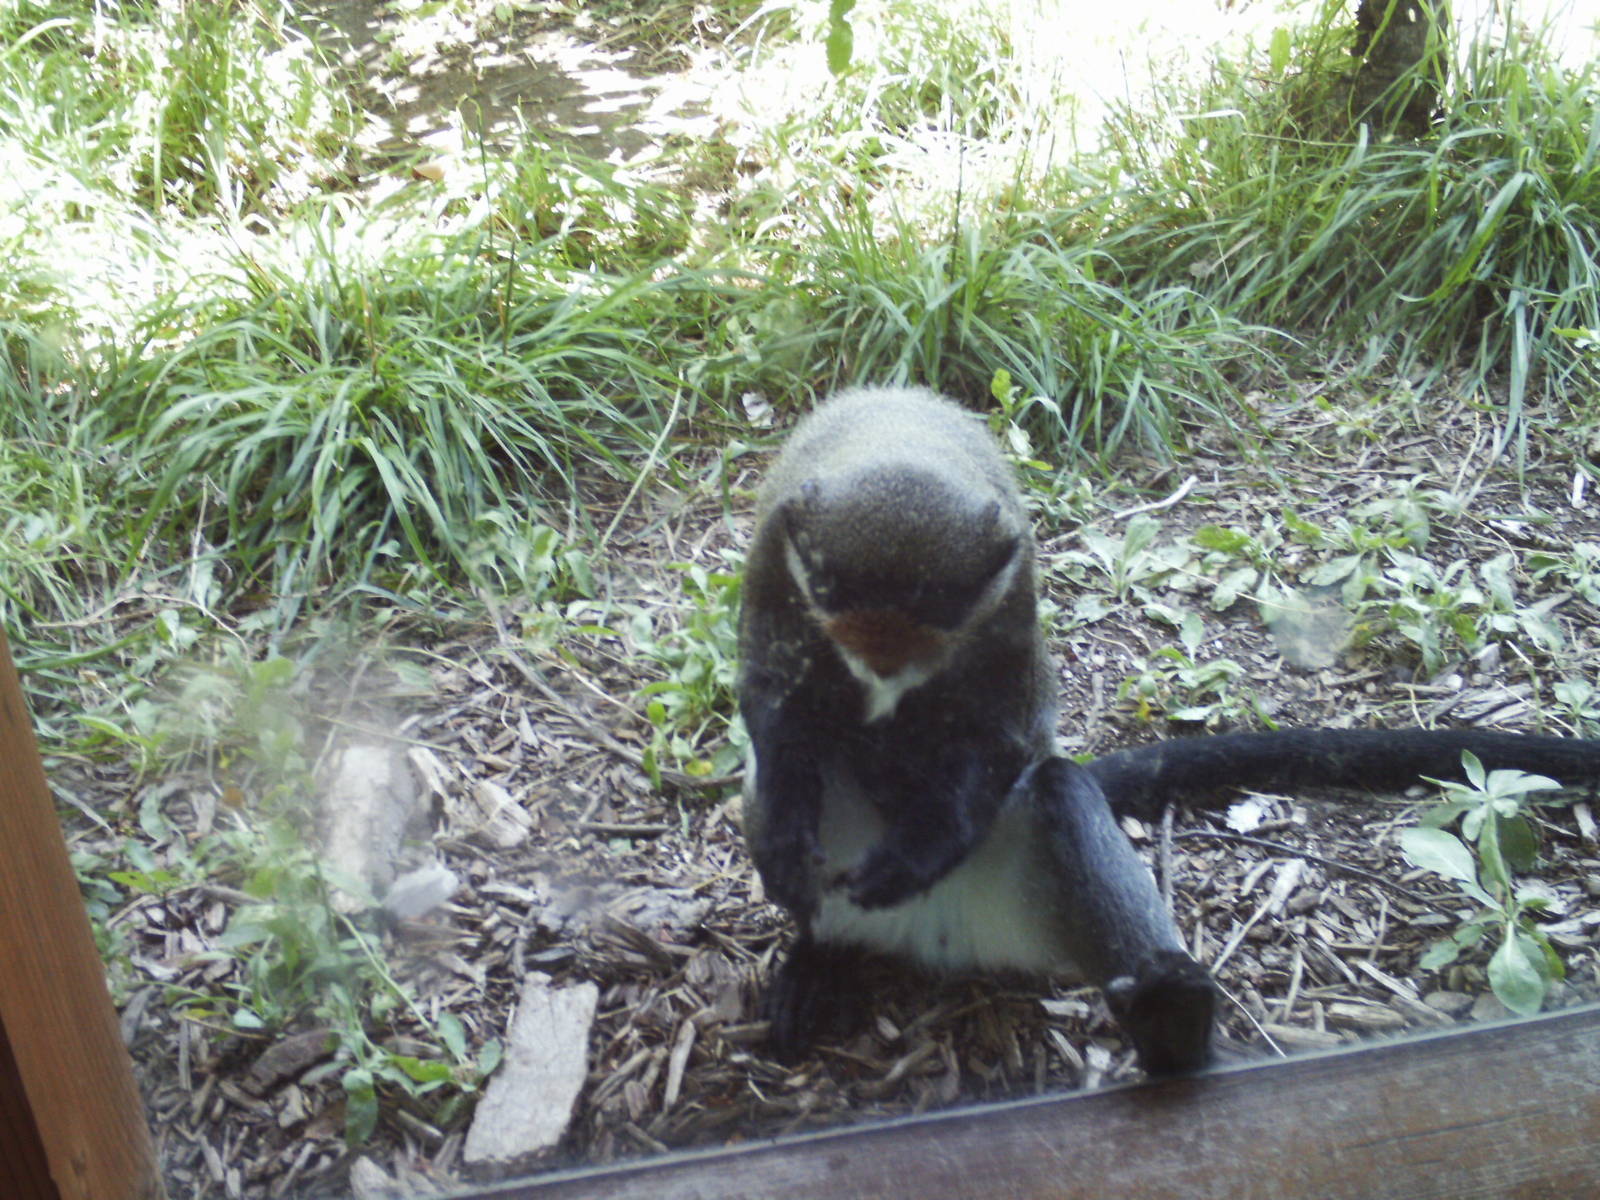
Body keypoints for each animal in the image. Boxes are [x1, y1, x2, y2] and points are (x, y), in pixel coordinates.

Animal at [737, 385, 1600, 1076]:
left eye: (933, 610)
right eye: (830, 590)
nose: (879, 658)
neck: (898, 440)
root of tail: (930, 938)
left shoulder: (1011, 595)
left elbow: (1008, 732)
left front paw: (917, 851)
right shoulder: (773, 561)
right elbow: (773, 710)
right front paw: (782, 833)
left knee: (1058, 790)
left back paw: (1171, 1019)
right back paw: (823, 955)